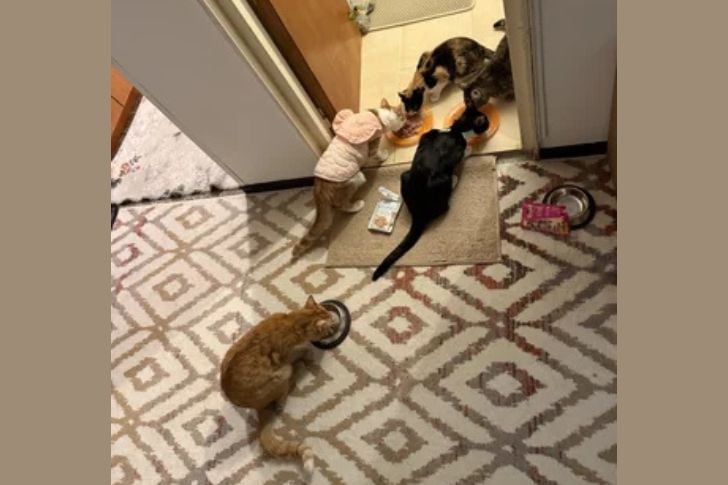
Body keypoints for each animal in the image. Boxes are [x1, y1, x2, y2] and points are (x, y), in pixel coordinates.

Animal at [219, 295, 337, 473]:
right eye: (328, 327)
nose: (334, 323)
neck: (291, 322)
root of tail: (257, 406)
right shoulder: (288, 354)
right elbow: (302, 350)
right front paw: (308, 351)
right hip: (282, 373)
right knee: (285, 390)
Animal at [292, 99, 405, 258]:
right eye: (403, 116)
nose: (406, 121)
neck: (378, 116)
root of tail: (318, 189)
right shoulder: (372, 146)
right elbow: (377, 154)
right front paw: (384, 155)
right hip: (355, 179)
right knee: (341, 205)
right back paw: (356, 205)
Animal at [371, 127, 471, 281]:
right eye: (461, 141)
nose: (462, 136)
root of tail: (419, 213)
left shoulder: (427, 136)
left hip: (404, 175)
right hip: (441, 182)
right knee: (445, 206)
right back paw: (454, 180)